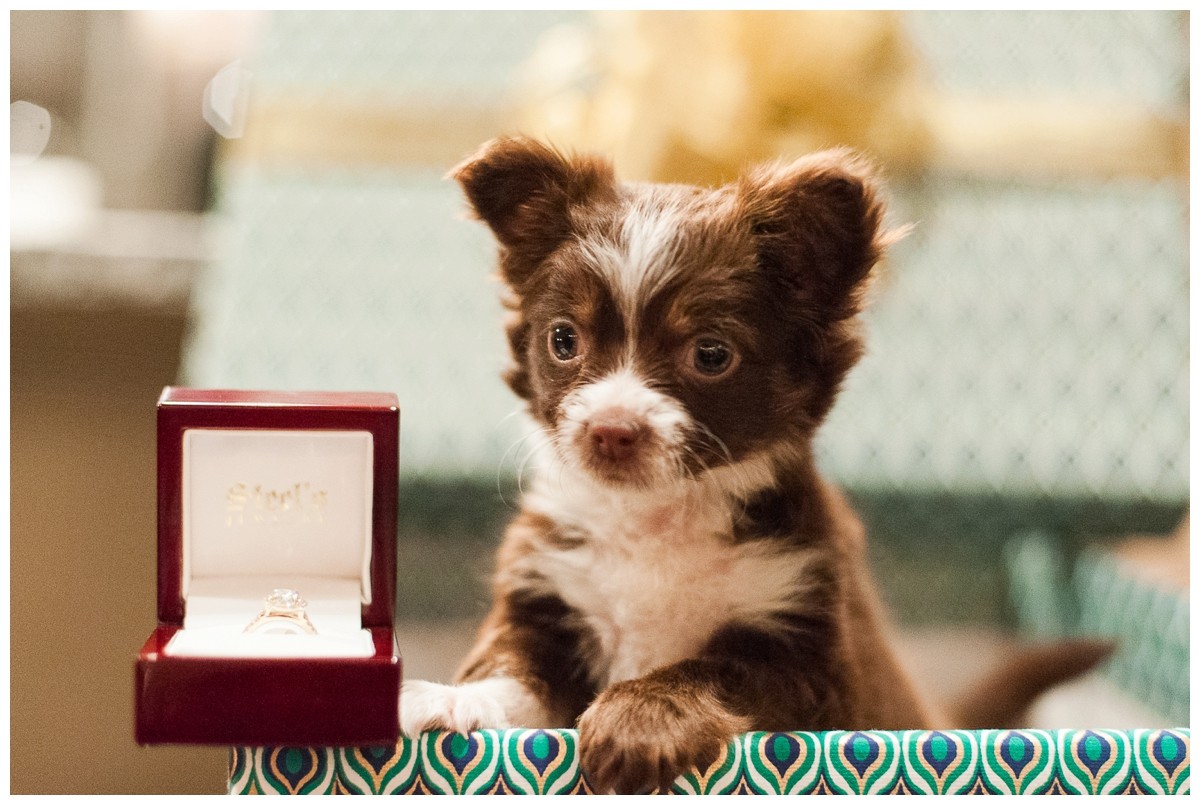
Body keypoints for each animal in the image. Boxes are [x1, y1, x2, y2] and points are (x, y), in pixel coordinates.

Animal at [400, 136, 1104, 791]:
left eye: (711, 354)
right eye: (563, 340)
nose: (611, 430)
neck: (654, 521)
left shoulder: (808, 660)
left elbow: (713, 667)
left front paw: (640, 717)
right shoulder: (544, 603)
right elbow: (511, 669)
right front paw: (453, 700)